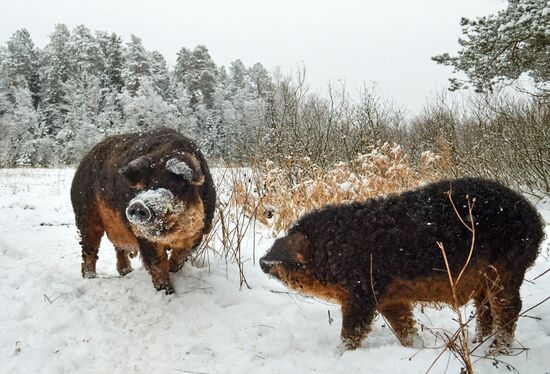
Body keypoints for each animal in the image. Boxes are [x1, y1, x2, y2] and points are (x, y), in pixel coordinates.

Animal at [73, 127, 218, 294]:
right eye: (144, 185)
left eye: (176, 184)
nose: (138, 205)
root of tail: (84, 160)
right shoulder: (143, 237)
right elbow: (157, 263)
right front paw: (167, 292)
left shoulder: (198, 232)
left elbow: (180, 256)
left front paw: (173, 270)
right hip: (84, 213)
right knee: (89, 249)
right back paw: (90, 277)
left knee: (119, 247)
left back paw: (126, 272)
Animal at [260, 178, 544, 350]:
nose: (262, 260)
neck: (333, 251)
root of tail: (535, 221)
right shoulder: (391, 299)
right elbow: (404, 327)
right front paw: (419, 347)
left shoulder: (361, 292)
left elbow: (352, 332)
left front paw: (339, 355)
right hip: (484, 282)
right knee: (485, 311)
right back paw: (478, 343)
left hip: (506, 270)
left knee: (509, 308)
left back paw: (495, 352)